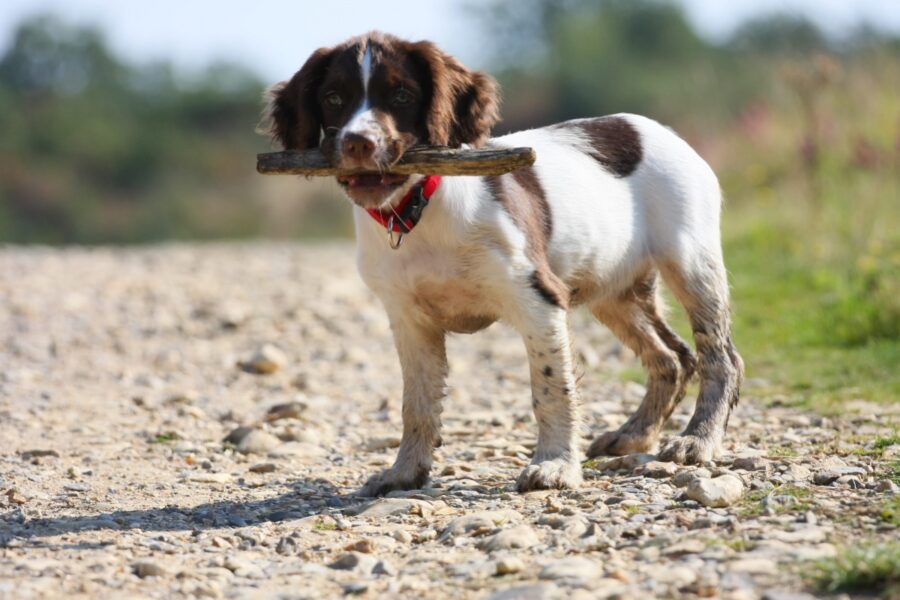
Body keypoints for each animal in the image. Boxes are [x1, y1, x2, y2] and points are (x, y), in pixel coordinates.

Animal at [260, 30, 744, 494]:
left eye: (401, 95)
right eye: (333, 98)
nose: (359, 143)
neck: (416, 209)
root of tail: (658, 128)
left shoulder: (539, 298)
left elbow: (551, 389)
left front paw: (553, 466)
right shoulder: (408, 319)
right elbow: (416, 404)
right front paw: (404, 473)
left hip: (691, 261)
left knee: (720, 358)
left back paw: (698, 440)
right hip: (614, 289)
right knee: (673, 357)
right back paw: (633, 435)